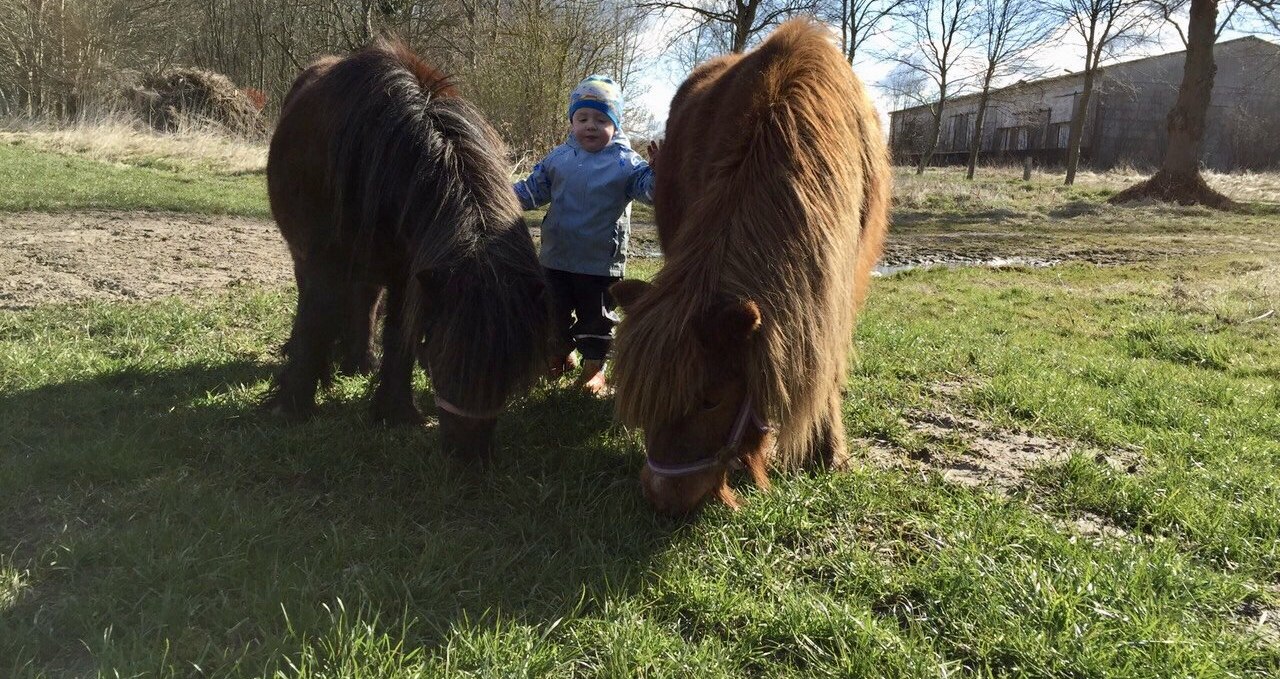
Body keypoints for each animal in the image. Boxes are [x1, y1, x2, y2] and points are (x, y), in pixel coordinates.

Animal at [267, 39, 547, 456]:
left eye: (510, 367)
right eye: (445, 355)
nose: (469, 454)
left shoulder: (408, 274)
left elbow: (400, 336)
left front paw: (395, 411)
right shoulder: (324, 261)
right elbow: (314, 321)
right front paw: (294, 403)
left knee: (365, 301)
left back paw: (360, 362)